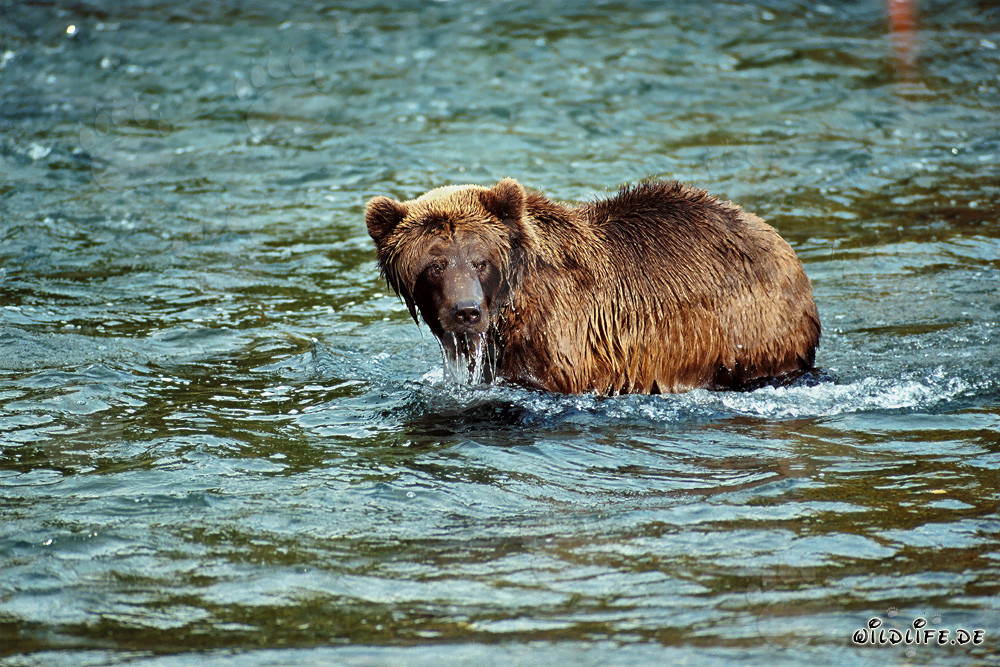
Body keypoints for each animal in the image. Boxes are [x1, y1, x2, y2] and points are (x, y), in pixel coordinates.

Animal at [365, 178, 820, 395]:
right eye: (435, 265)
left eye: (481, 260)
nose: (466, 311)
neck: (511, 310)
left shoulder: (563, 344)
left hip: (748, 326)